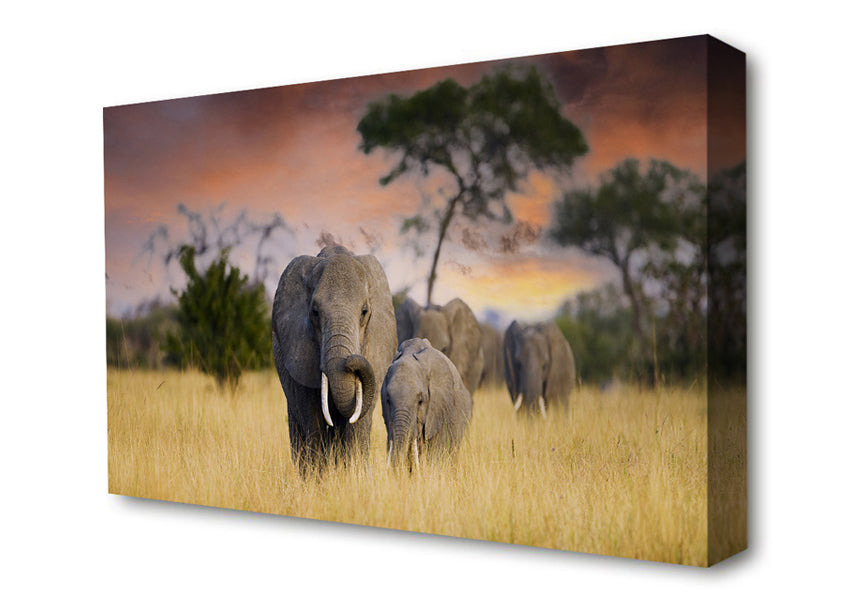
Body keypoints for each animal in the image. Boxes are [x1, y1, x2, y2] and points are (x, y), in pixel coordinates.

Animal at [272, 245, 397, 472]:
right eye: (314, 312)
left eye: (364, 311)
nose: (351, 361)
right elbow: (313, 421)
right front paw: (317, 478)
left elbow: (358, 423)